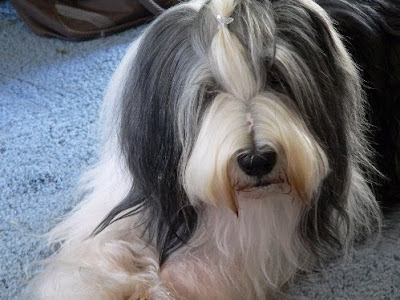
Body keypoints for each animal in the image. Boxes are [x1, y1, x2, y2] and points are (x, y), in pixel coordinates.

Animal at [25, 0, 400, 298]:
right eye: (209, 90)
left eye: (277, 77)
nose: (257, 161)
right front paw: (89, 280)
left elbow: (218, 265)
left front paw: (157, 286)